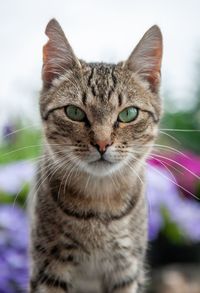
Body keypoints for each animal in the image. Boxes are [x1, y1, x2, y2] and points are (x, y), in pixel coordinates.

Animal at [28, 18, 162, 292]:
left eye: (129, 114)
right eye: (74, 112)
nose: (102, 143)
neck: (99, 203)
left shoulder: (126, 271)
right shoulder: (48, 268)